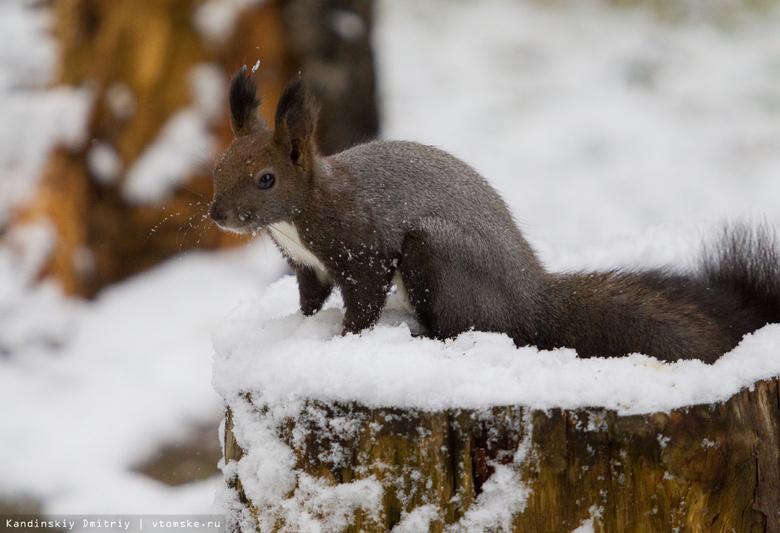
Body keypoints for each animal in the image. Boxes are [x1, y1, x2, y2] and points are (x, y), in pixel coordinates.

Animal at [207, 66, 780, 364]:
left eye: (266, 179)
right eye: (218, 165)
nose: (217, 214)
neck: (299, 214)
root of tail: (531, 302)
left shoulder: (361, 245)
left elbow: (364, 301)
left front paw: (344, 342)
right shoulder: (307, 265)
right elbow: (309, 298)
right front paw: (296, 328)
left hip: (436, 254)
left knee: (464, 325)